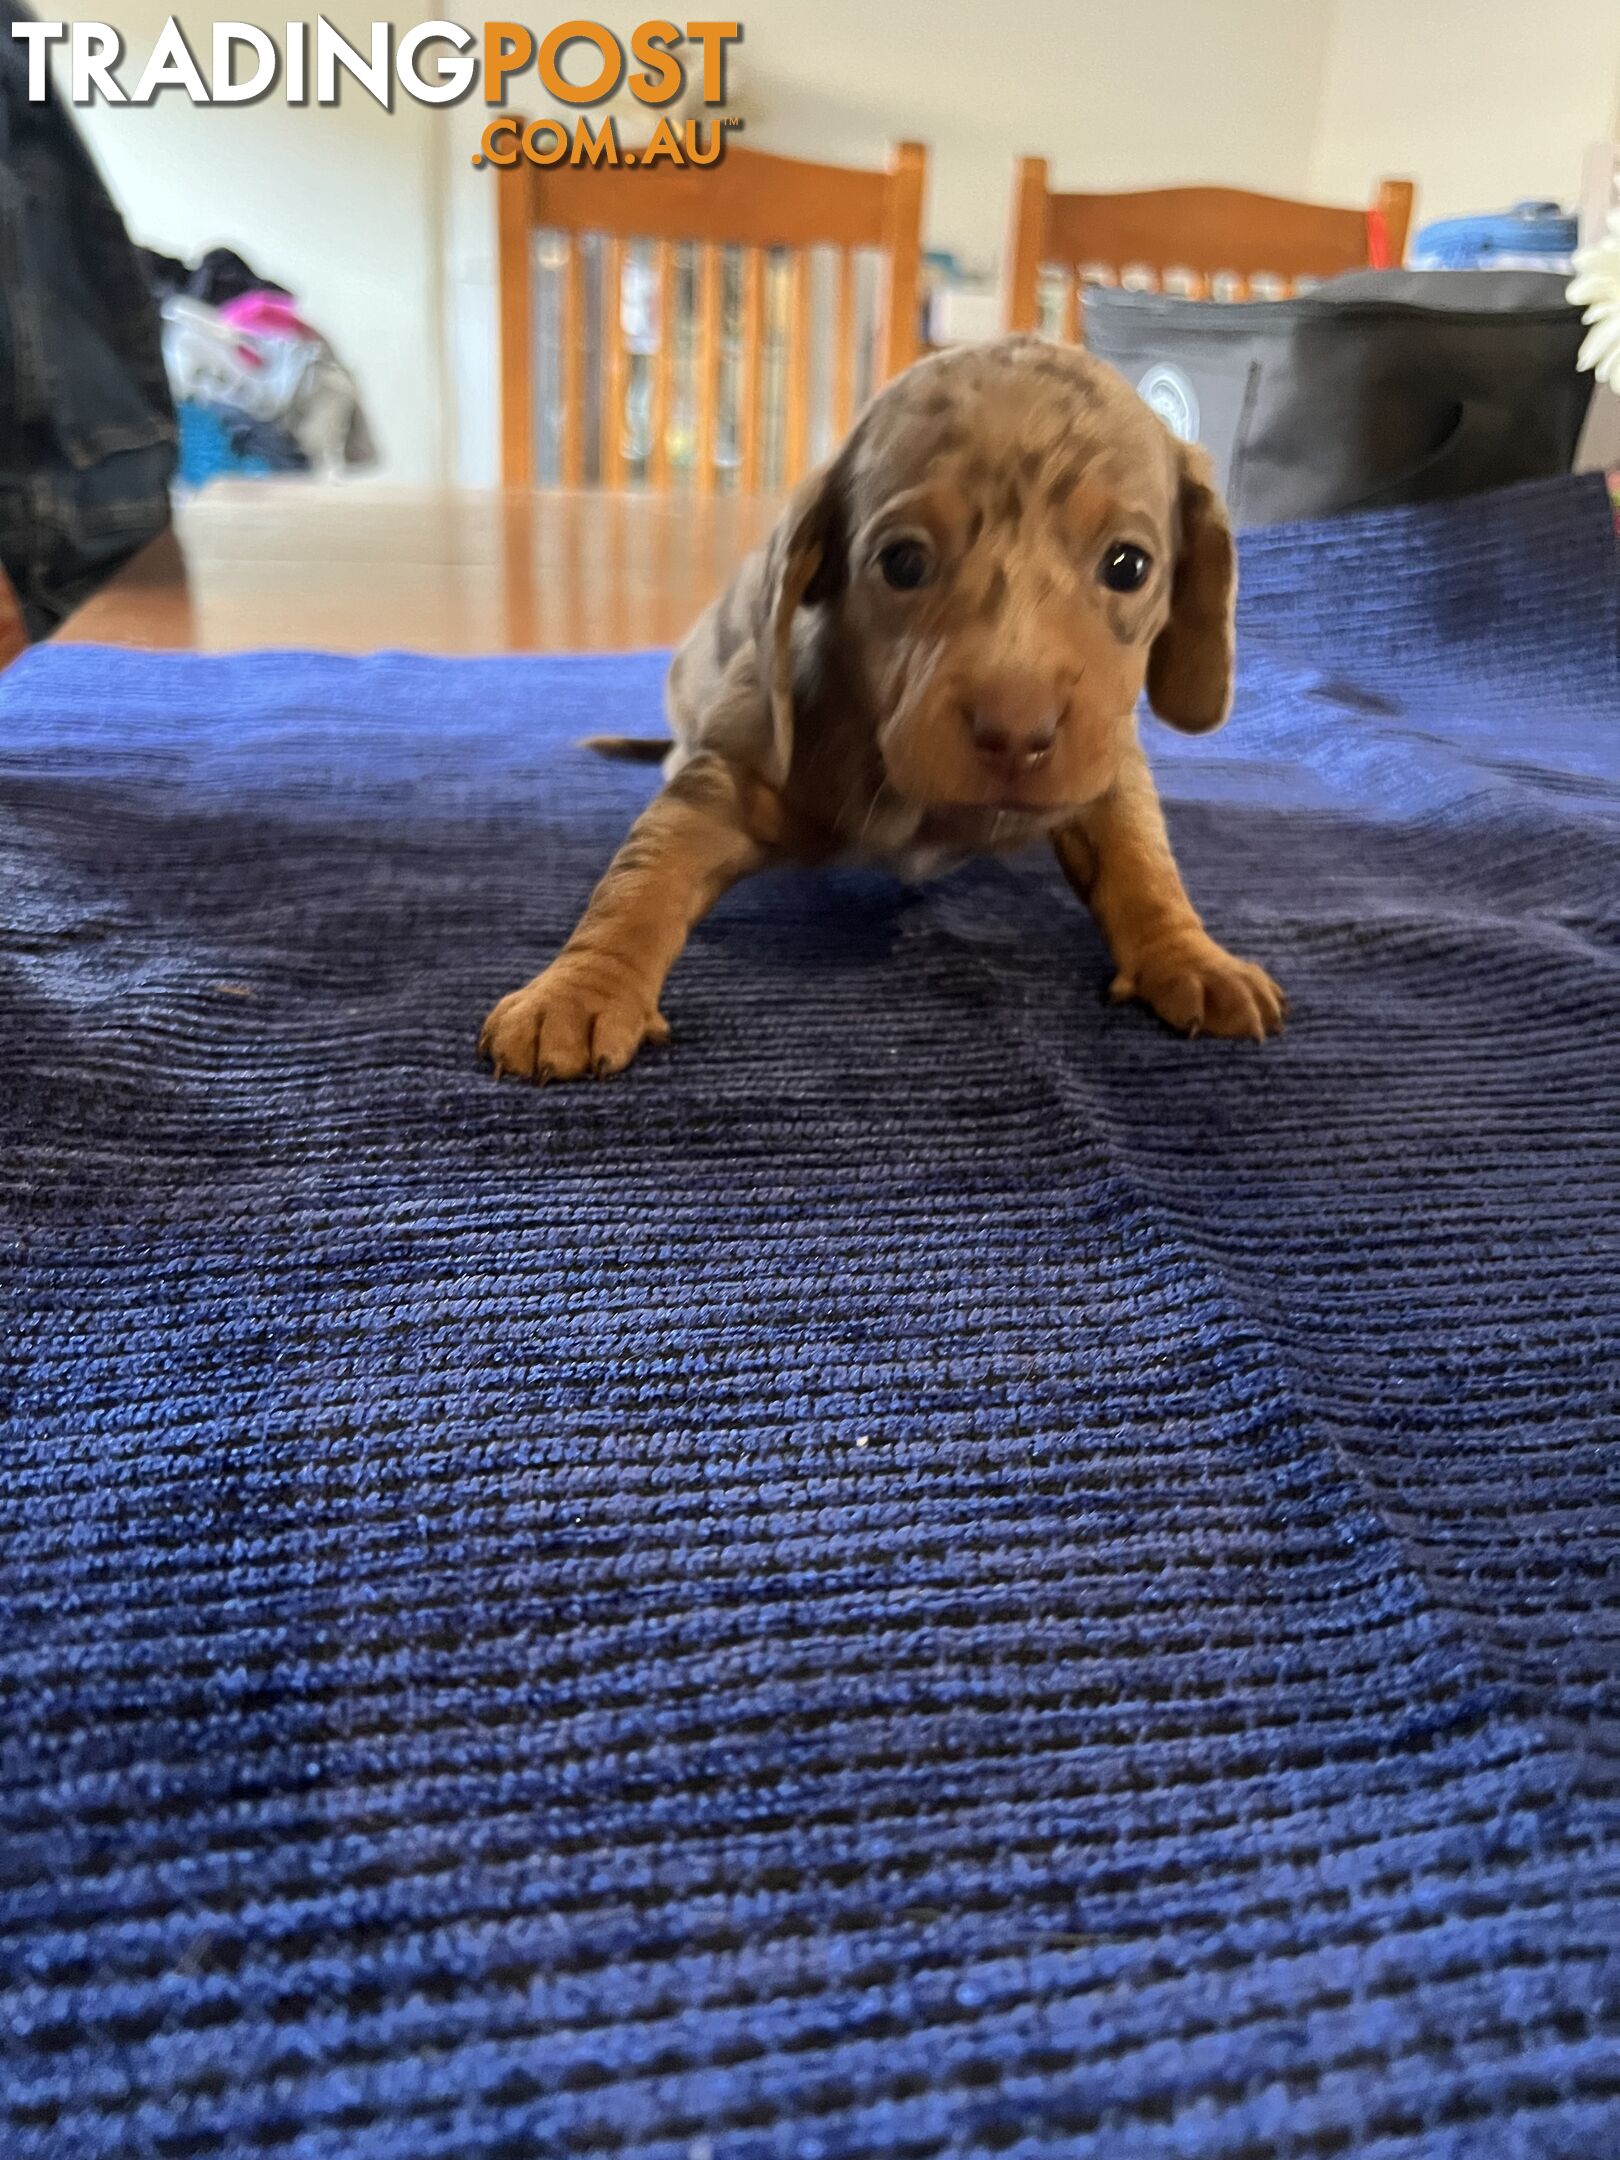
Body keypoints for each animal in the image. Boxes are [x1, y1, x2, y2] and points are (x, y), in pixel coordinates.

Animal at [475, 332, 1287, 1080]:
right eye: (902, 562)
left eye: (1128, 565)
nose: (1015, 735)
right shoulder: (728, 774)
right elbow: (643, 878)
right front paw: (579, 991)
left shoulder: (1104, 765)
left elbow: (1142, 859)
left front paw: (1190, 955)